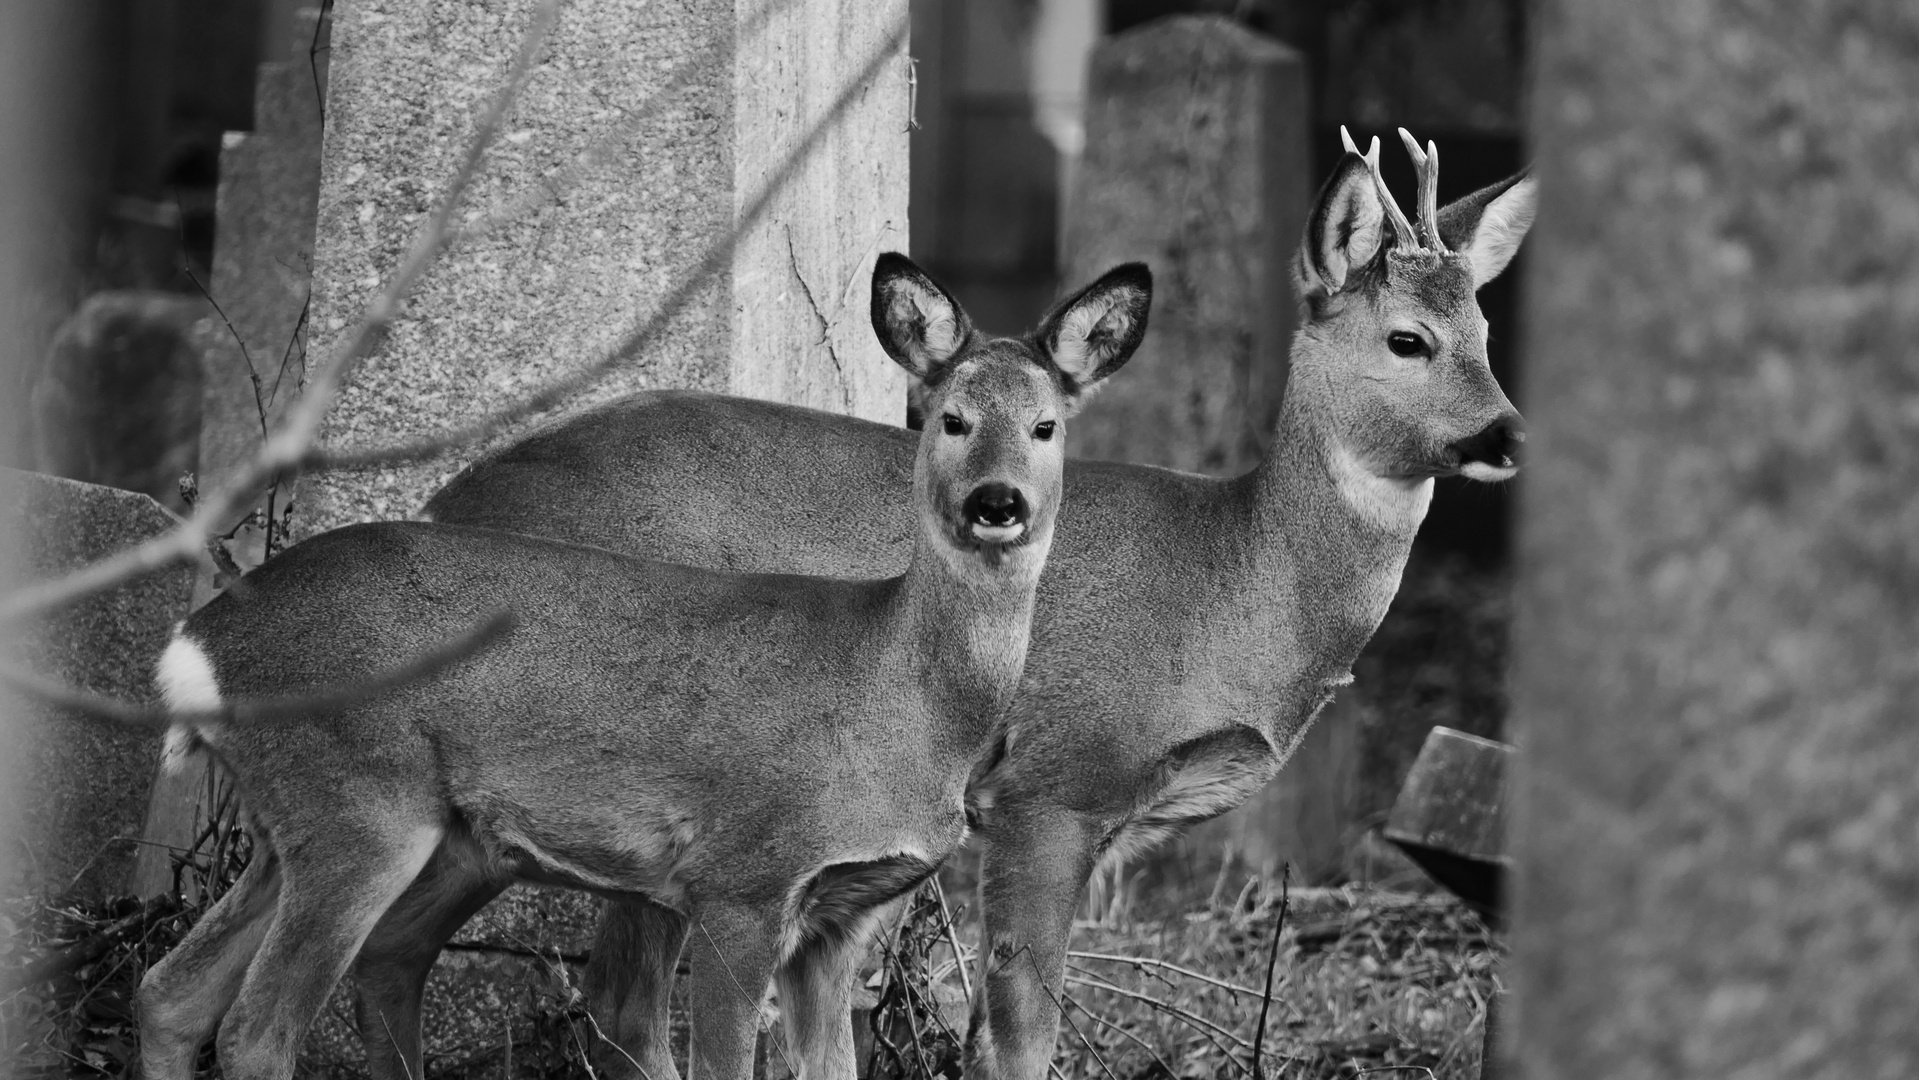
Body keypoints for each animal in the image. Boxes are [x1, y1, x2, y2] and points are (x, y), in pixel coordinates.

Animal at [139, 251, 1151, 1080]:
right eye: (951, 419)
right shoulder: (742, 878)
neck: (897, 698)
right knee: (255, 1029)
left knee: (170, 994)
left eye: (1047, 426)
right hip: (360, 809)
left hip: (307, 826)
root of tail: (197, 648)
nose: (997, 503)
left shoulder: (838, 918)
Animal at [427, 124, 1535, 1074]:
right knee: (620, 1003)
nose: (1505, 433)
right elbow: (1021, 1034)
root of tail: (452, 497)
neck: (1230, 585)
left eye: (1484, 329)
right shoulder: (1051, 785)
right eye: (1405, 339)